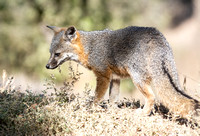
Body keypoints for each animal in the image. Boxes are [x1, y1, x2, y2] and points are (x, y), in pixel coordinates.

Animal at [46, 25, 199, 118]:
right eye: (50, 53)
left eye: (57, 54)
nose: (47, 66)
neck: (89, 48)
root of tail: (156, 34)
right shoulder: (115, 78)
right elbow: (113, 99)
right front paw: (112, 111)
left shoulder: (103, 76)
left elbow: (97, 97)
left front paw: (90, 109)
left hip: (137, 78)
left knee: (152, 97)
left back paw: (143, 113)